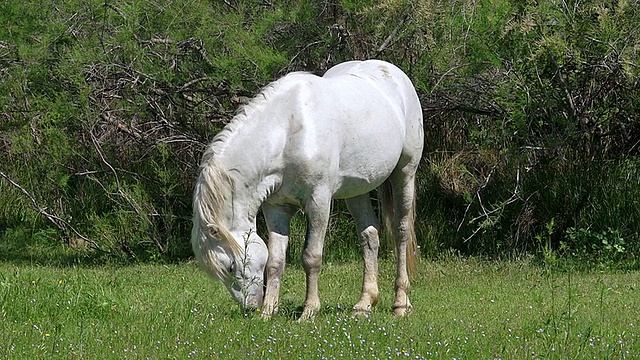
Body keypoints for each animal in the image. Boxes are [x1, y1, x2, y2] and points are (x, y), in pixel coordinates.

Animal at [194, 59, 424, 320]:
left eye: (231, 267)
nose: (251, 307)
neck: (288, 131)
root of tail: (393, 72)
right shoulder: (277, 208)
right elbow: (275, 261)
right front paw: (268, 312)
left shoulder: (319, 202)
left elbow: (311, 257)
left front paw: (309, 311)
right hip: (357, 190)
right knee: (369, 235)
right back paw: (364, 303)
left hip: (405, 174)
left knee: (401, 232)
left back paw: (401, 303)